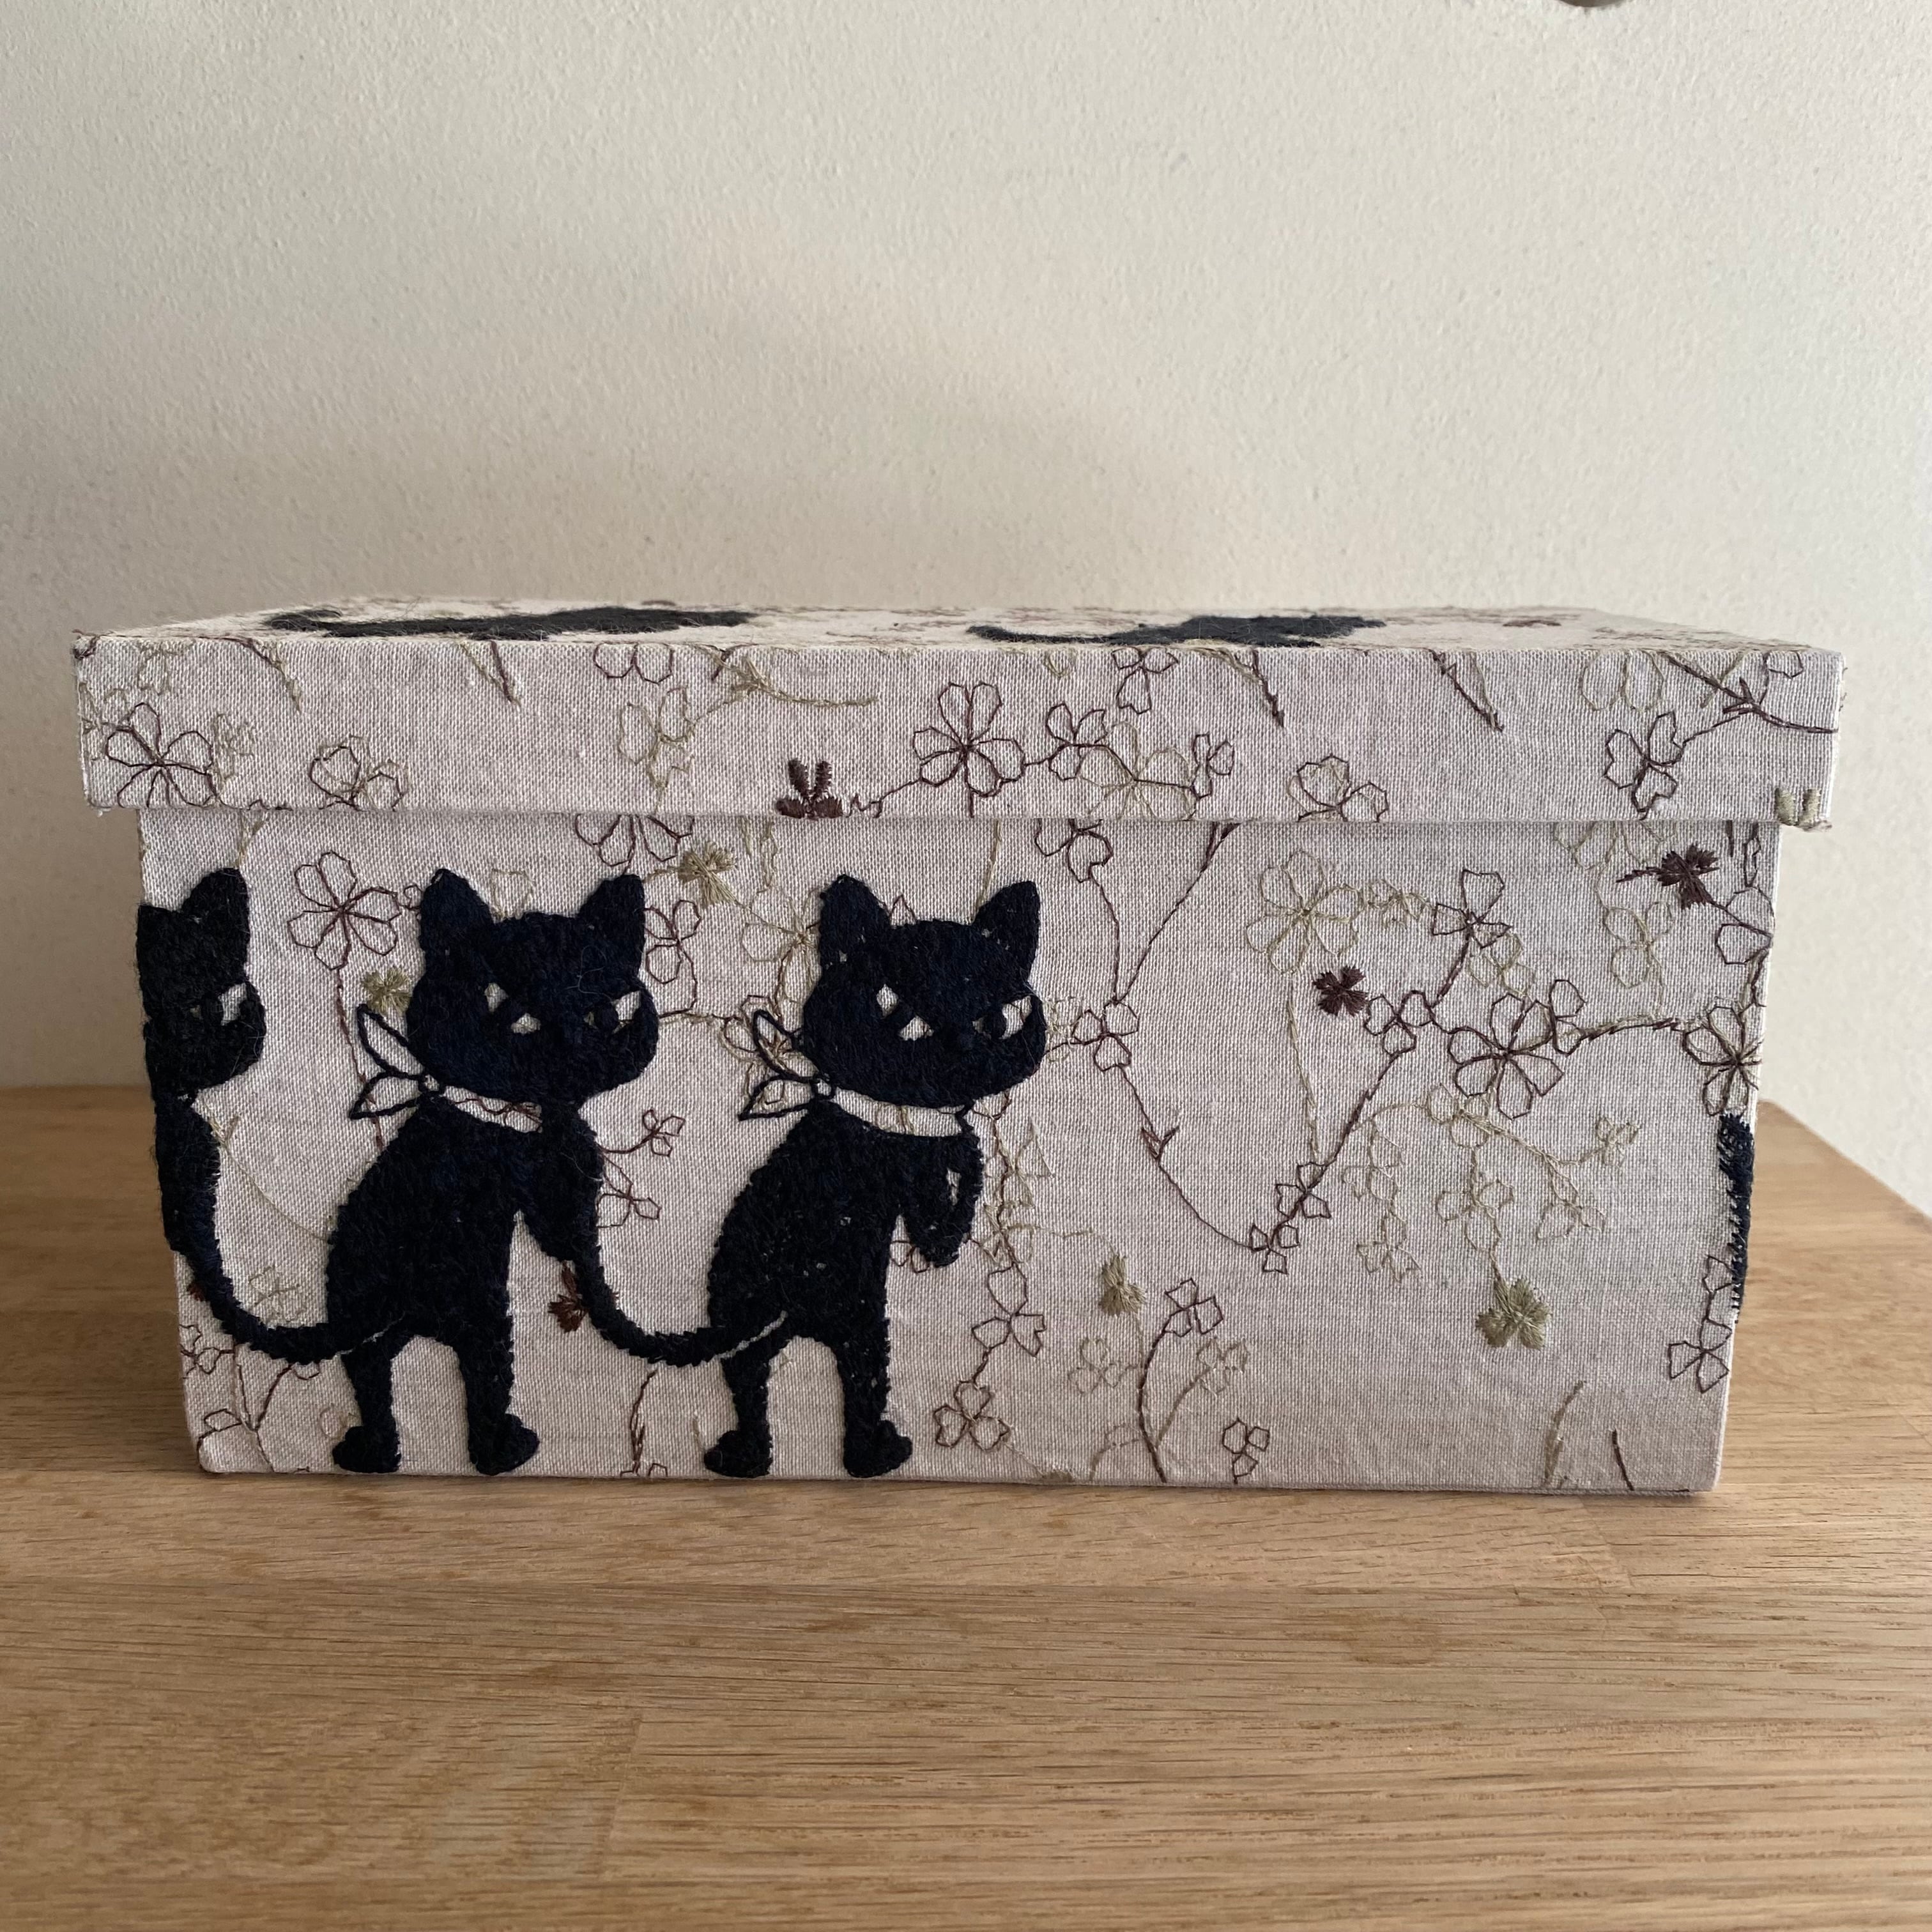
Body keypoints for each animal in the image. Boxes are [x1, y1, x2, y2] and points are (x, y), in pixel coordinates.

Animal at [174, 867, 659, 1476]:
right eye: (514, 1015)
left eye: (606, 1015)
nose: (574, 1046)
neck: (508, 1112)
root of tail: (411, 1310)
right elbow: (548, 1207)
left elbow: (563, 1213)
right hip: (474, 1314)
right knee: (463, 1375)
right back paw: (491, 1450)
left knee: (373, 1371)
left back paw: (379, 1452)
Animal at [569, 875, 1047, 1479]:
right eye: (898, 1015)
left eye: (999, 1021)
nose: (961, 1046)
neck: (885, 1120)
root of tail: (793, 1306)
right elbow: (941, 1223)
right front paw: (963, 1145)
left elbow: (939, 1232)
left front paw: (961, 1141)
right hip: (803, 1310)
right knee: (765, 1373)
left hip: (846, 1322)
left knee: (800, 1372)